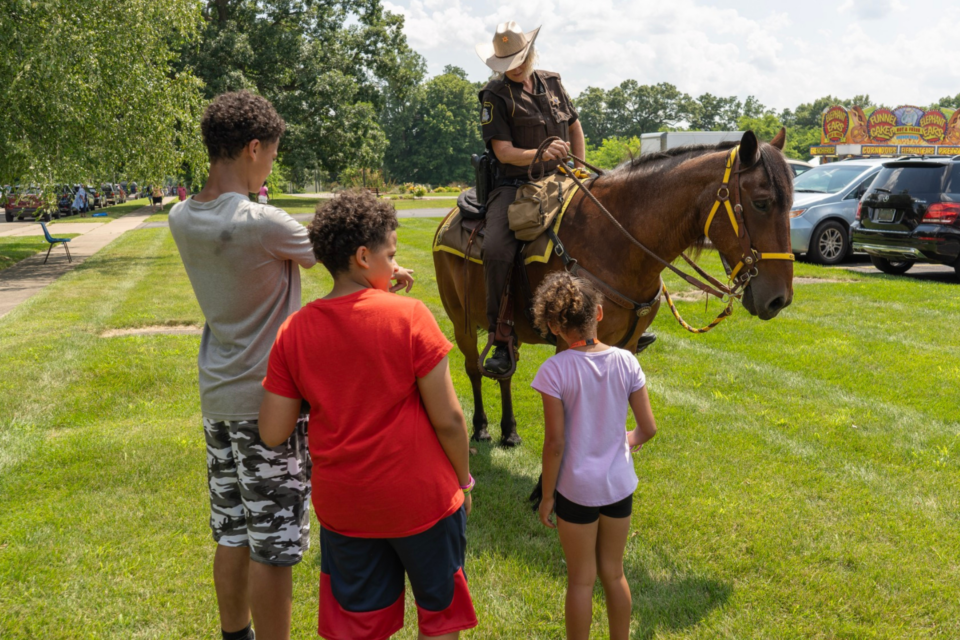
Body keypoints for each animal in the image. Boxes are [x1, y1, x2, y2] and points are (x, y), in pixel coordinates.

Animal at [434, 127, 796, 442]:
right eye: (761, 202)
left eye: (792, 204)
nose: (779, 299)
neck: (616, 243)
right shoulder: (568, 344)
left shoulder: (628, 344)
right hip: (461, 322)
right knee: (474, 369)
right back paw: (481, 427)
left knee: (505, 370)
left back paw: (509, 431)